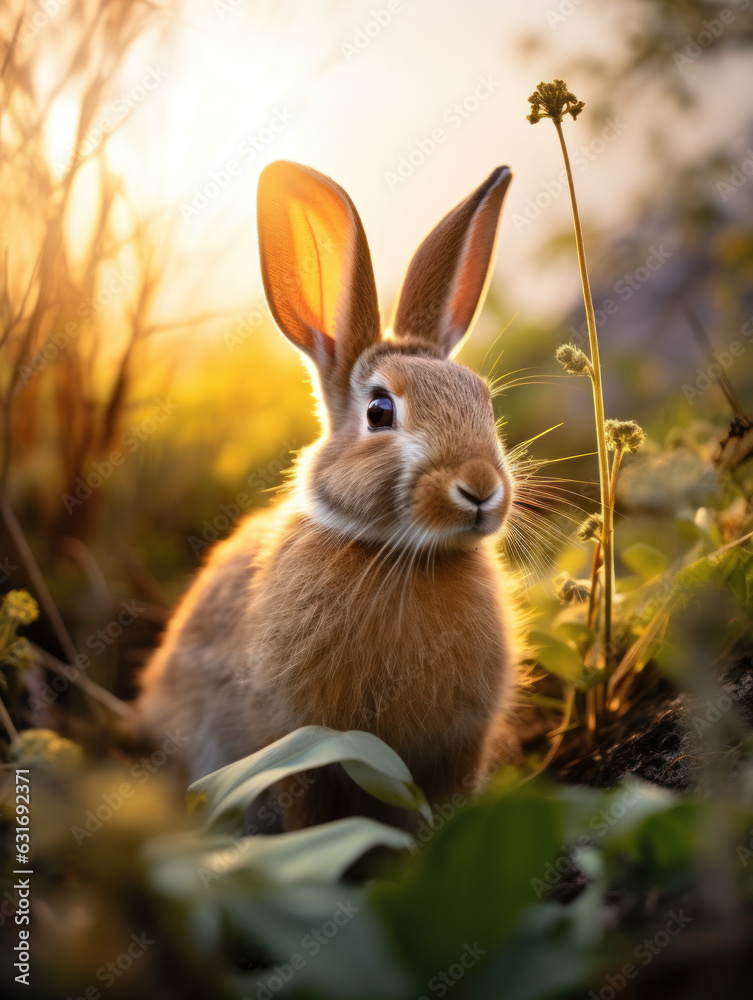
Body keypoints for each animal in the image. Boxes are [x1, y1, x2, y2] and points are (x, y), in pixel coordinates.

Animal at [137, 159, 520, 828]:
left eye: (484, 401)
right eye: (379, 410)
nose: (480, 489)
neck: (400, 554)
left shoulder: (459, 748)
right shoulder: (294, 744)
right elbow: (311, 810)